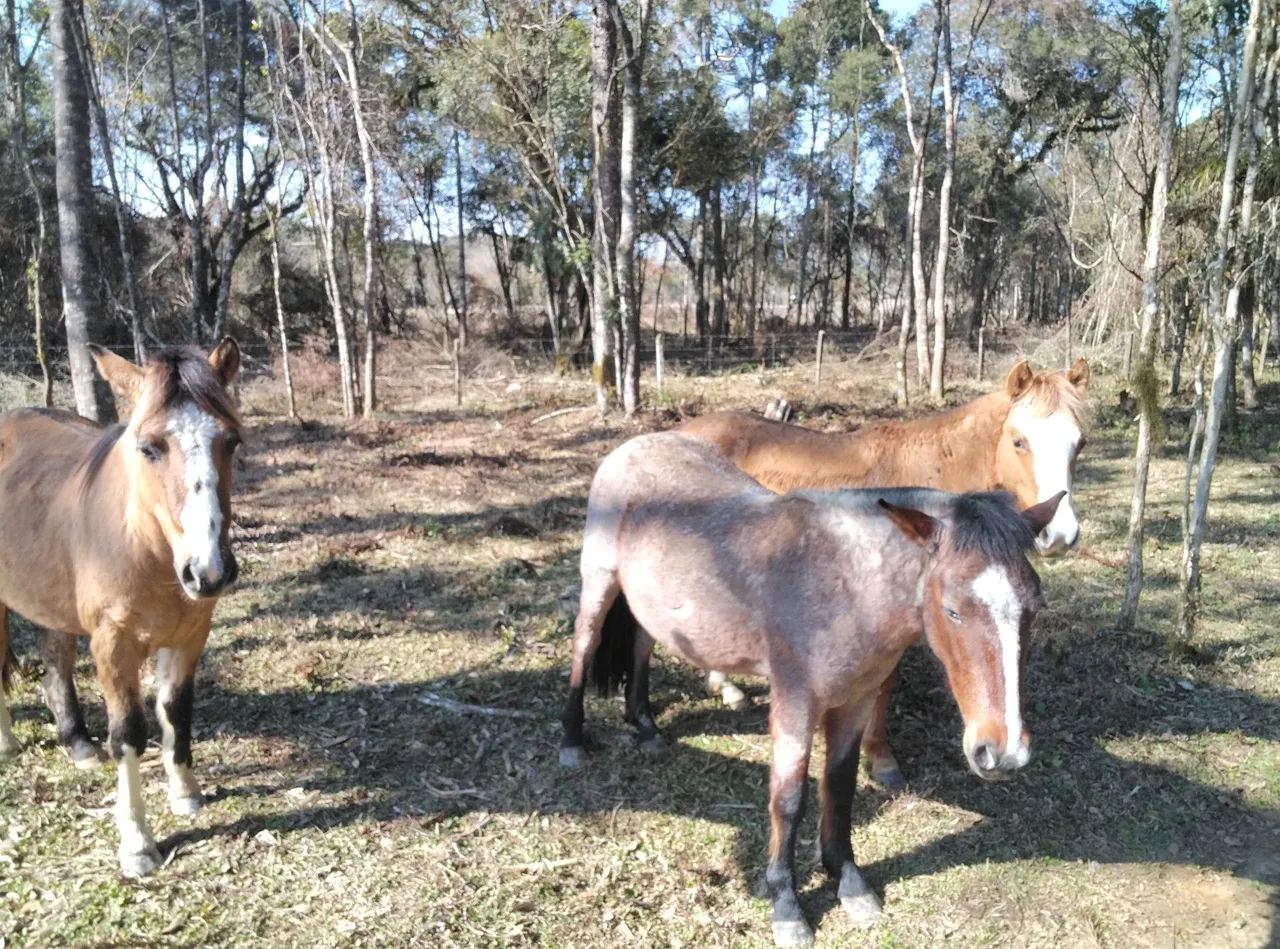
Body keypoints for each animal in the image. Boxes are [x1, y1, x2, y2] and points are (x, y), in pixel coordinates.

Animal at [0, 340, 243, 878]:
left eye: (232, 441)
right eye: (149, 447)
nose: (209, 571)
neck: (144, 548)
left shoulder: (191, 634)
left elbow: (175, 710)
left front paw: (185, 794)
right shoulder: (113, 644)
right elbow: (129, 732)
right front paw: (136, 844)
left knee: (56, 660)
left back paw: (78, 744)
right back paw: (5, 743)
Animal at [559, 432, 1061, 947]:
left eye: (1035, 606)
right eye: (953, 610)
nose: (1004, 752)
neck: (842, 585)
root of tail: (635, 444)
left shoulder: (857, 701)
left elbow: (838, 786)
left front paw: (849, 881)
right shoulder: (795, 705)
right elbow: (789, 800)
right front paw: (786, 905)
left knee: (641, 642)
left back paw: (646, 727)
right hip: (599, 583)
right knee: (584, 646)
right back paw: (573, 740)